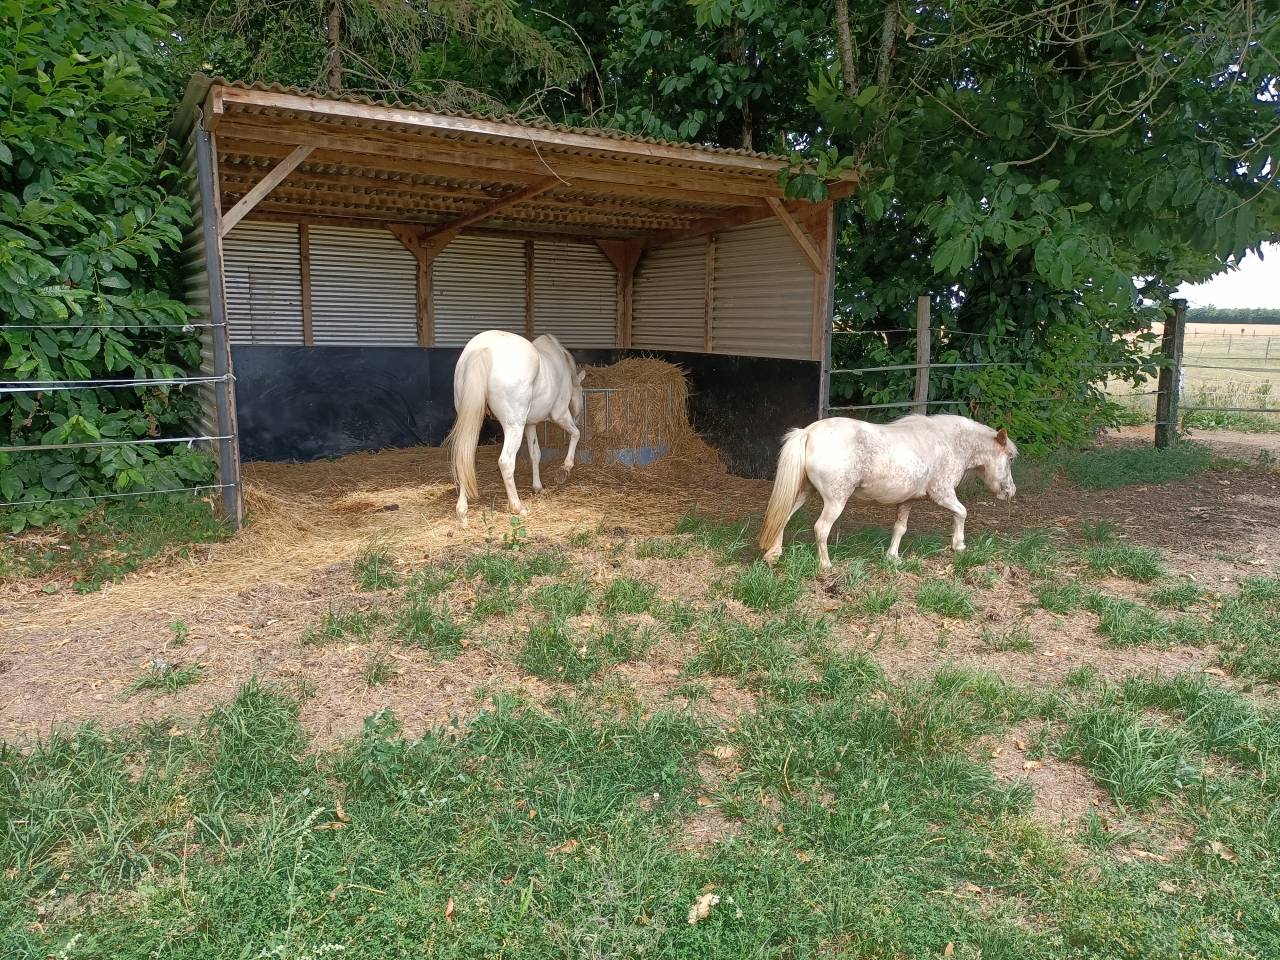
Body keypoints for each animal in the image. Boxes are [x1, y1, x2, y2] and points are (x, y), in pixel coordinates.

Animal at [445, 330, 584, 525]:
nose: (578, 417)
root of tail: (482, 349)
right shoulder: (560, 414)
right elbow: (576, 434)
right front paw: (565, 469)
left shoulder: (530, 425)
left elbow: (535, 455)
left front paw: (538, 487)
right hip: (514, 427)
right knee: (506, 462)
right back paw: (518, 507)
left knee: (465, 457)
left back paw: (462, 511)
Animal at [758, 414, 1018, 570]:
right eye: (1010, 458)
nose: (1010, 492)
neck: (950, 442)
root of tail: (809, 432)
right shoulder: (942, 494)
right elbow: (962, 512)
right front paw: (959, 545)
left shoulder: (907, 501)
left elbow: (900, 528)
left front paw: (893, 557)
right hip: (835, 501)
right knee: (821, 528)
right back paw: (826, 565)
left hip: (804, 492)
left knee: (783, 518)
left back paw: (774, 554)